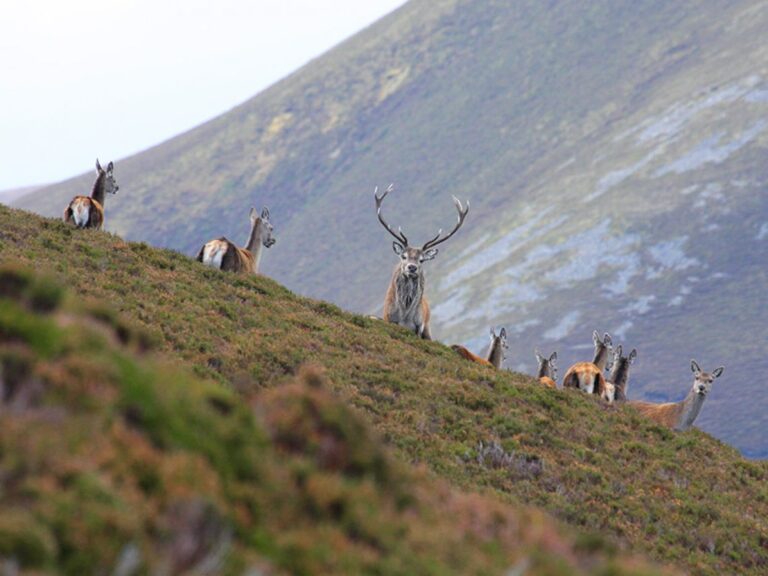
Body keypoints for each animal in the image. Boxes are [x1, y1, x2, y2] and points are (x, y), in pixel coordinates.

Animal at [375, 184, 469, 340]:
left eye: (422, 260)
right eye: (403, 256)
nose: (412, 267)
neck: (405, 316)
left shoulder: (419, 327)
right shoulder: (389, 319)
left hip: (428, 328)